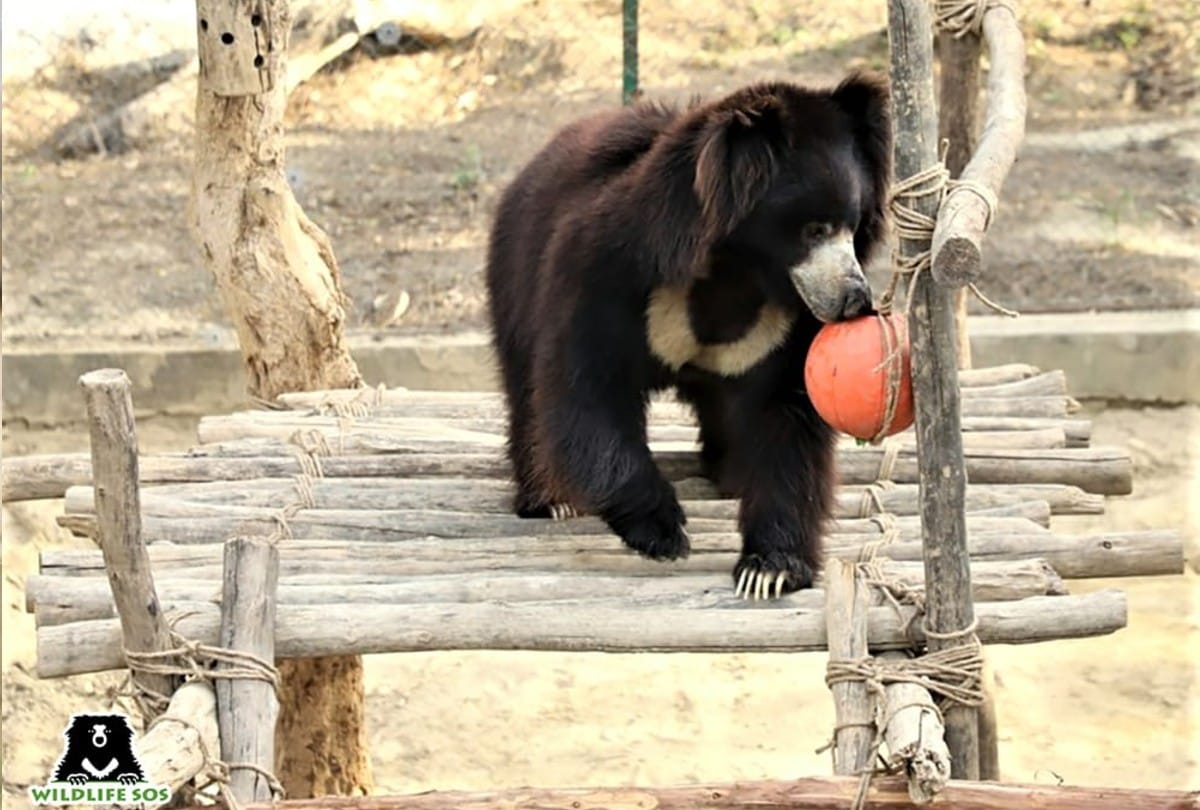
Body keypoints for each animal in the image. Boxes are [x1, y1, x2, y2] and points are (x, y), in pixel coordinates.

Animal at [485, 72, 892, 598]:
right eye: (814, 229)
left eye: (853, 227)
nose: (854, 300)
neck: (737, 273)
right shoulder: (609, 272)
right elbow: (588, 392)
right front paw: (662, 529)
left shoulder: (785, 324)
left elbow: (786, 421)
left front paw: (769, 569)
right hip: (515, 273)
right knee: (525, 391)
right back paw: (551, 500)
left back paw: (730, 474)